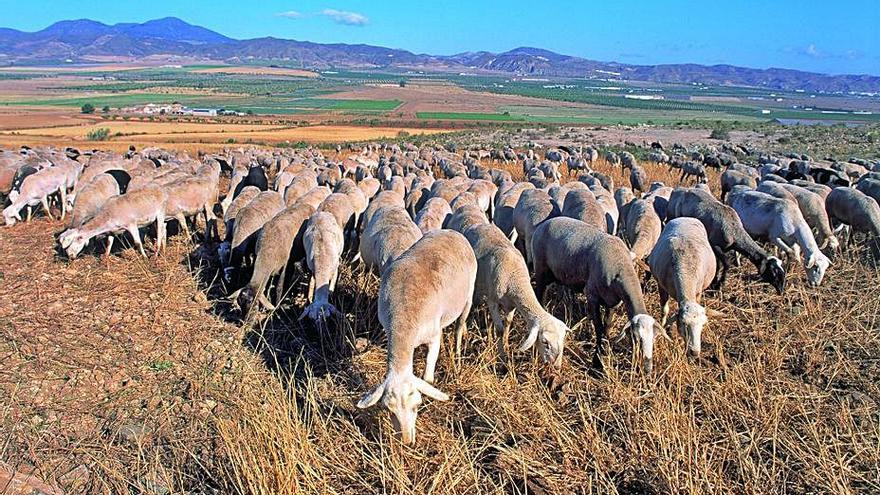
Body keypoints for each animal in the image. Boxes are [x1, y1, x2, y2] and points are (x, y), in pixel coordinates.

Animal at [356, 232, 478, 446]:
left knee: (459, 325)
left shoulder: (434, 336)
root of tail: (452, 233)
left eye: (417, 406)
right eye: (389, 410)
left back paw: (457, 351)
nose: (406, 441)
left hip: (469, 295)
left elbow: (428, 376)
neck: (404, 318)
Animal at [464, 225, 568, 368]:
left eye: (562, 340)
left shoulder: (511, 304)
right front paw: (502, 358)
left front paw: (506, 345)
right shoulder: (492, 301)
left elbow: (508, 323)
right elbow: (500, 330)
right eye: (545, 342)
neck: (515, 277)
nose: (556, 367)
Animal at [528, 217, 660, 372]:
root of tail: (544, 224)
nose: (648, 369)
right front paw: (597, 362)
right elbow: (598, 327)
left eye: (654, 338)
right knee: (539, 296)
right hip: (540, 270)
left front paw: (605, 350)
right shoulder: (592, 296)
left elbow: (607, 326)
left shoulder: (613, 301)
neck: (620, 268)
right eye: (636, 338)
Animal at [648, 219, 720, 358]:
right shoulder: (661, 286)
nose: (694, 352)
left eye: (702, 325)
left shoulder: (698, 292)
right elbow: (664, 310)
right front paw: (664, 329)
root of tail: (686, 218)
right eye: (683, 324)